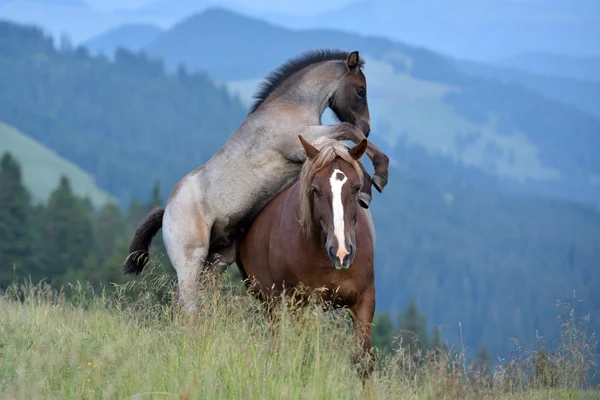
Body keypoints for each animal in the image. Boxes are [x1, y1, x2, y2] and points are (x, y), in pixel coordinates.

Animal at [124, 49, 392, 312]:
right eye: (360, 90)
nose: (367, 127)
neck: (288, 106)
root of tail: (166, 211)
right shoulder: (304, 142)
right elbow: (347, 130)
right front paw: (377, 177)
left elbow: (346, 144)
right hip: (191, 262)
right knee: (187, 305)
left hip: (216, 261)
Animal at [234, 134, 376, 378]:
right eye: (316, 190)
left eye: (357, 187)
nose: (342, 253)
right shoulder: (297, 303)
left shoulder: (365, 299)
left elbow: (363, 362)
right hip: (273, 304)